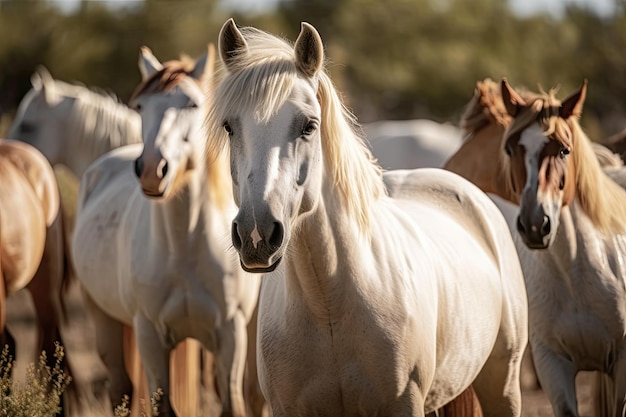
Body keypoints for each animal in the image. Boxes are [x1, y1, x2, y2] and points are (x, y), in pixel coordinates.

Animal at [72, 47, 260, 414]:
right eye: (141, 106)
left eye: (193, 104)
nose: (151, 169)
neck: (184, 247)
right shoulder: (149, 336)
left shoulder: (232, 335)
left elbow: (232, 402)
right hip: (103, 319)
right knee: (120, 389)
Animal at [205, 18, 528, 416]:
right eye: (229, 127)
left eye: (308, 125)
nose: (256, 234)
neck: (327, 302)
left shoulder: (405, 404)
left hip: (503, 386)